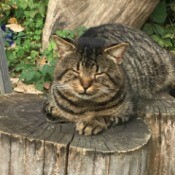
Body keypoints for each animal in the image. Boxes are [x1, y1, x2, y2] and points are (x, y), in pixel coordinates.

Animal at [42, 23, 175, 135]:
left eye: (98, 73)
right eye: (76, 71)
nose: (85, 85)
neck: (84, 106)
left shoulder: (127, 110)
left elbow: (106, 115)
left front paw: (91, 122)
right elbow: (52, 108)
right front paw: (56, 111)